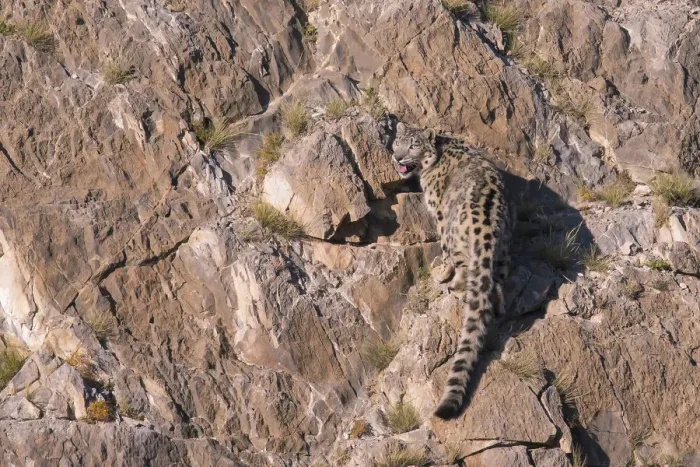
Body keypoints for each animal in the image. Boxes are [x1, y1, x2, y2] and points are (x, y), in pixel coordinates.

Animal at [390, 122, 513, 420]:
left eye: (413, 145)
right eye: (397, 142)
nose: (398, 157)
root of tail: (487, 228)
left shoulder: (438, 212)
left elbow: (443, 250)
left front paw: (439, 270)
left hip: (456, 237)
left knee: (464, 272)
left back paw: (450, 284)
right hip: (503, 250)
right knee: (496, 284)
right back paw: (498, 308)